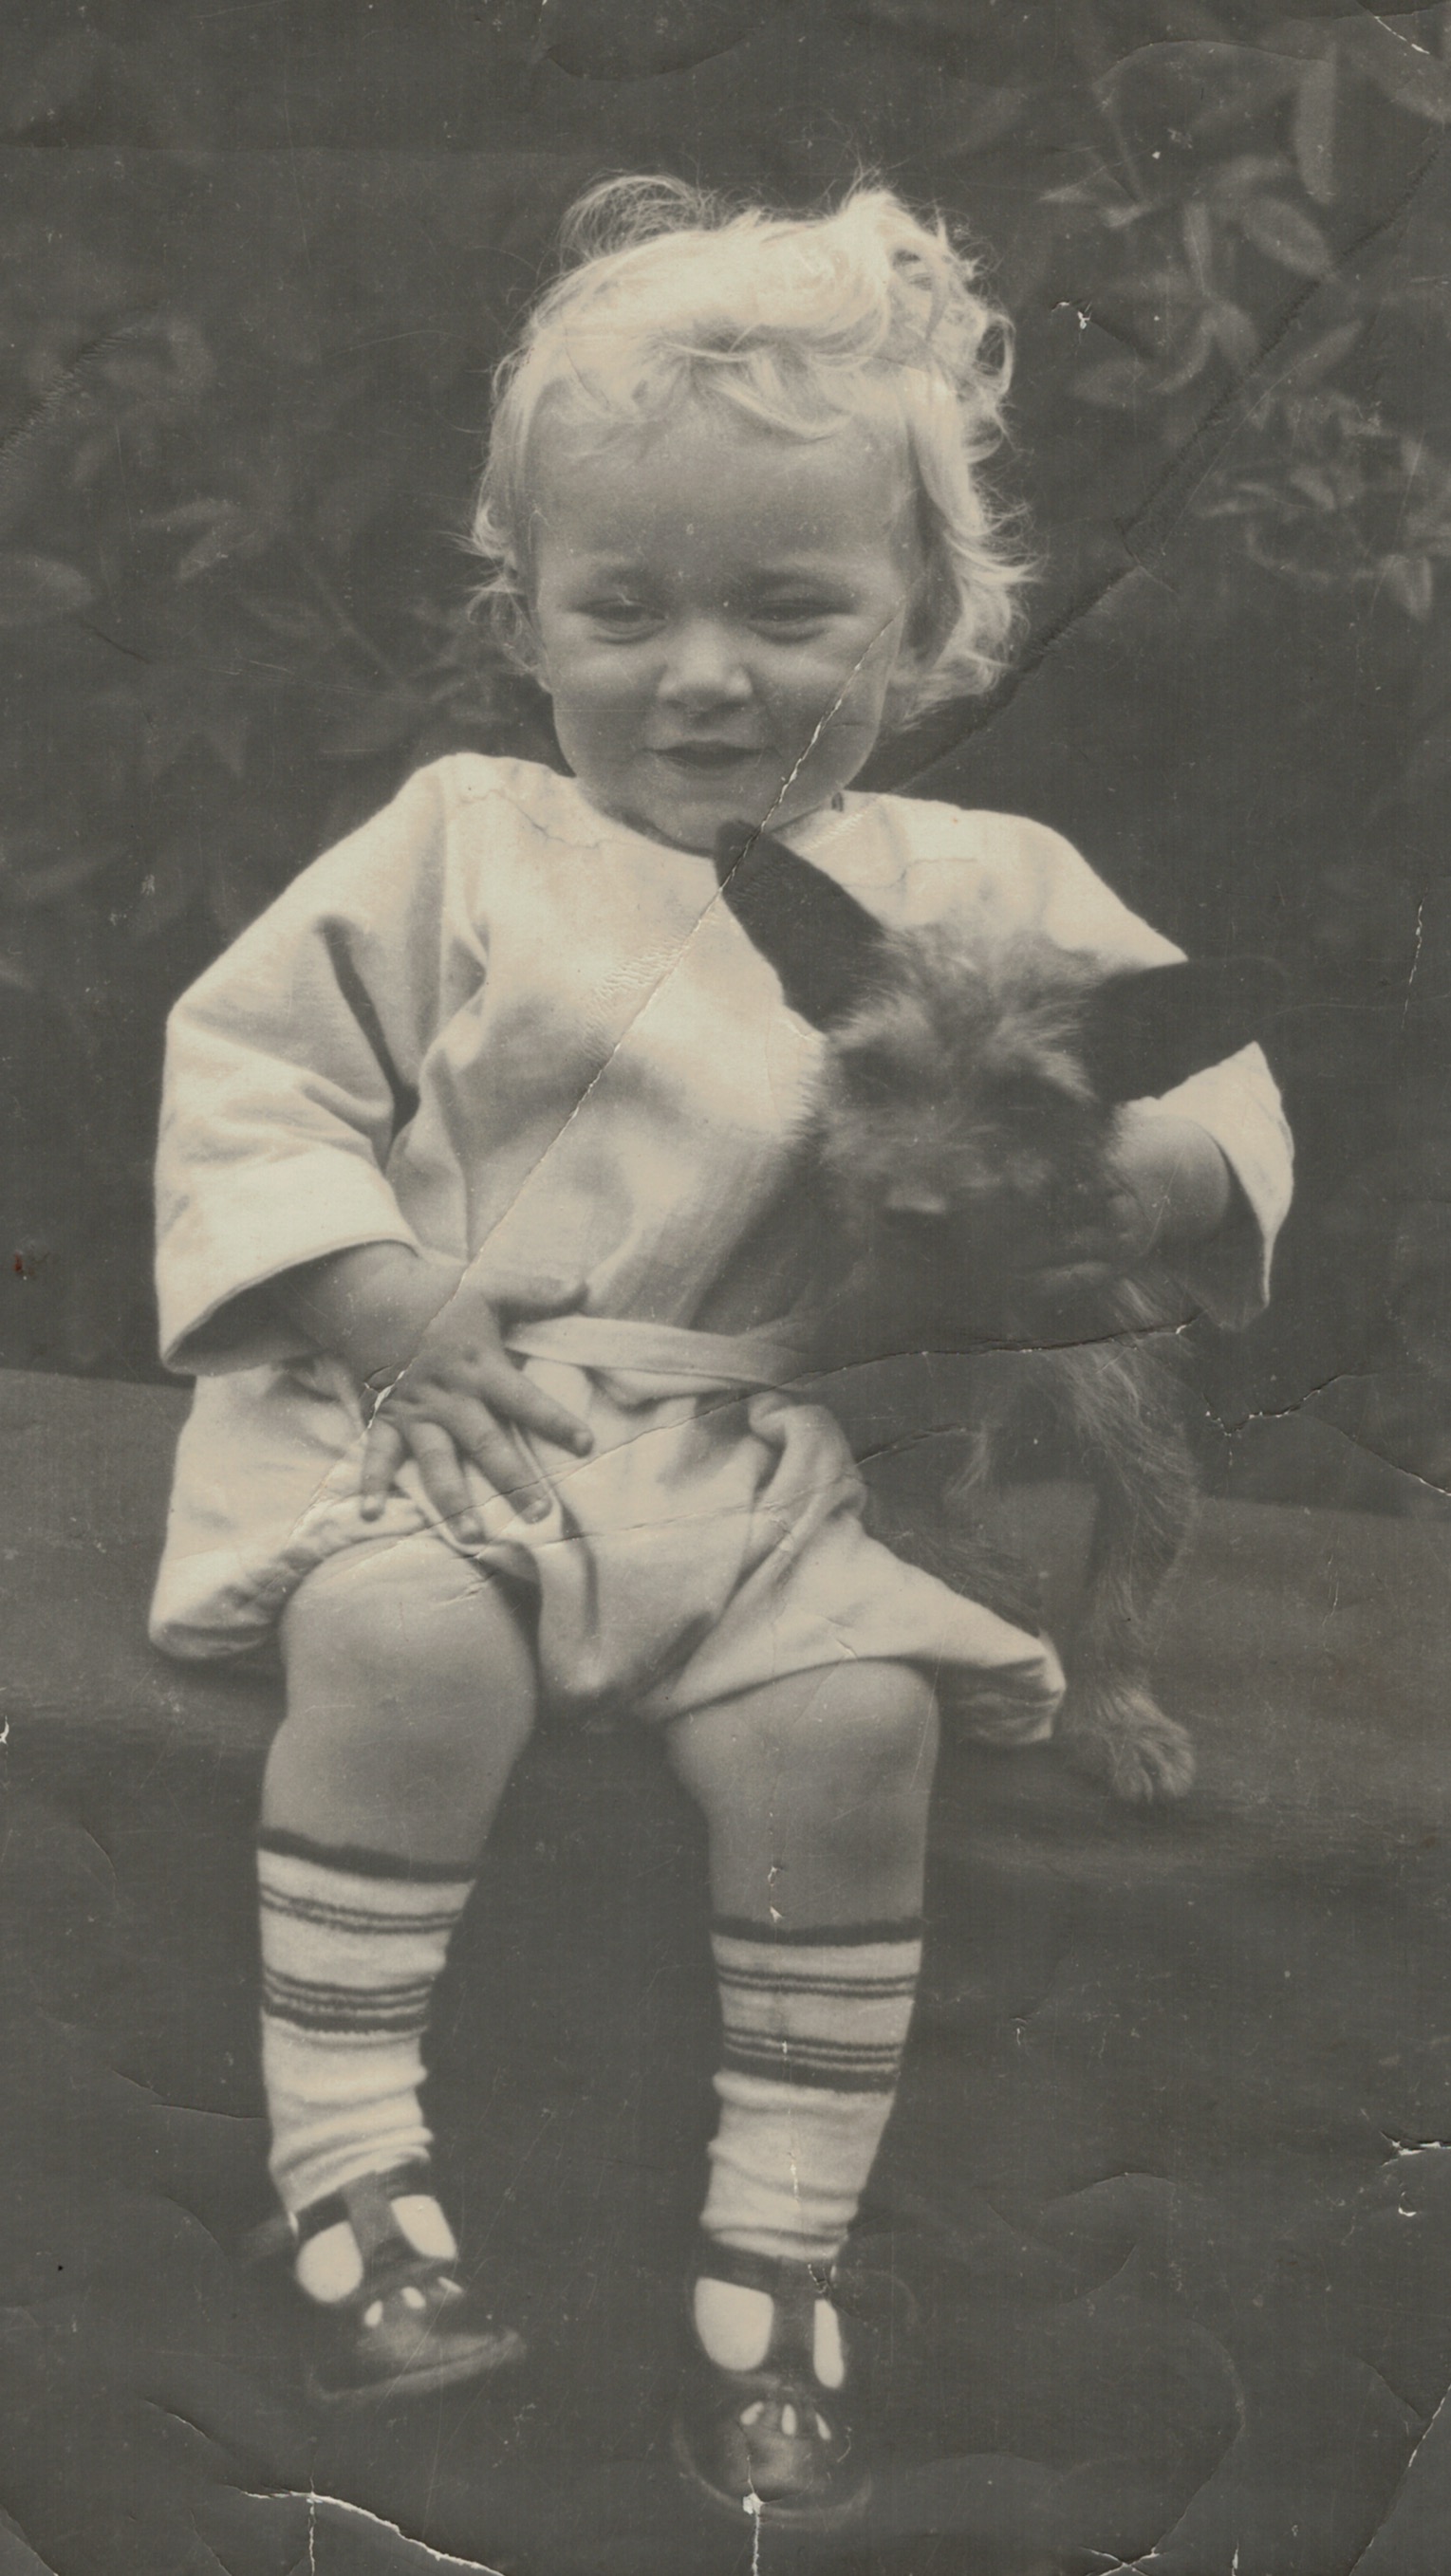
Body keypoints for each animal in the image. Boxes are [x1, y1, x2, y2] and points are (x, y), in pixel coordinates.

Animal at [715, 823, 1282, 1803]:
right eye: (870, 1072)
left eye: (1027, 1099)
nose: (910, 1212)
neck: (970, 1308)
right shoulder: (838, 1413)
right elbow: (903, 1518)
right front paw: (993, 1596)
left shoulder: (1140, 1442)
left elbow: (1124, 1597)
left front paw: (1118, 1716)